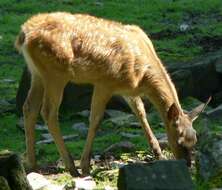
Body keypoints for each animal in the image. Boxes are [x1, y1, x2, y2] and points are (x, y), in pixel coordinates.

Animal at [15, 11, 210, 175]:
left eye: (195, 140)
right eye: (179, 140)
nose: (188, 165)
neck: (143, 76)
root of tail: (24, 34)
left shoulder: (128, 89)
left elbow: (141, 112)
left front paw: (158, 153)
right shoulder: (105, 82)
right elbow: (95, 119)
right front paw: (85, 165)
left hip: (37, 73)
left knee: (29, 108)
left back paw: (32, 163)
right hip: (55, 73)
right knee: (48, 112)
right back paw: (71, 167)